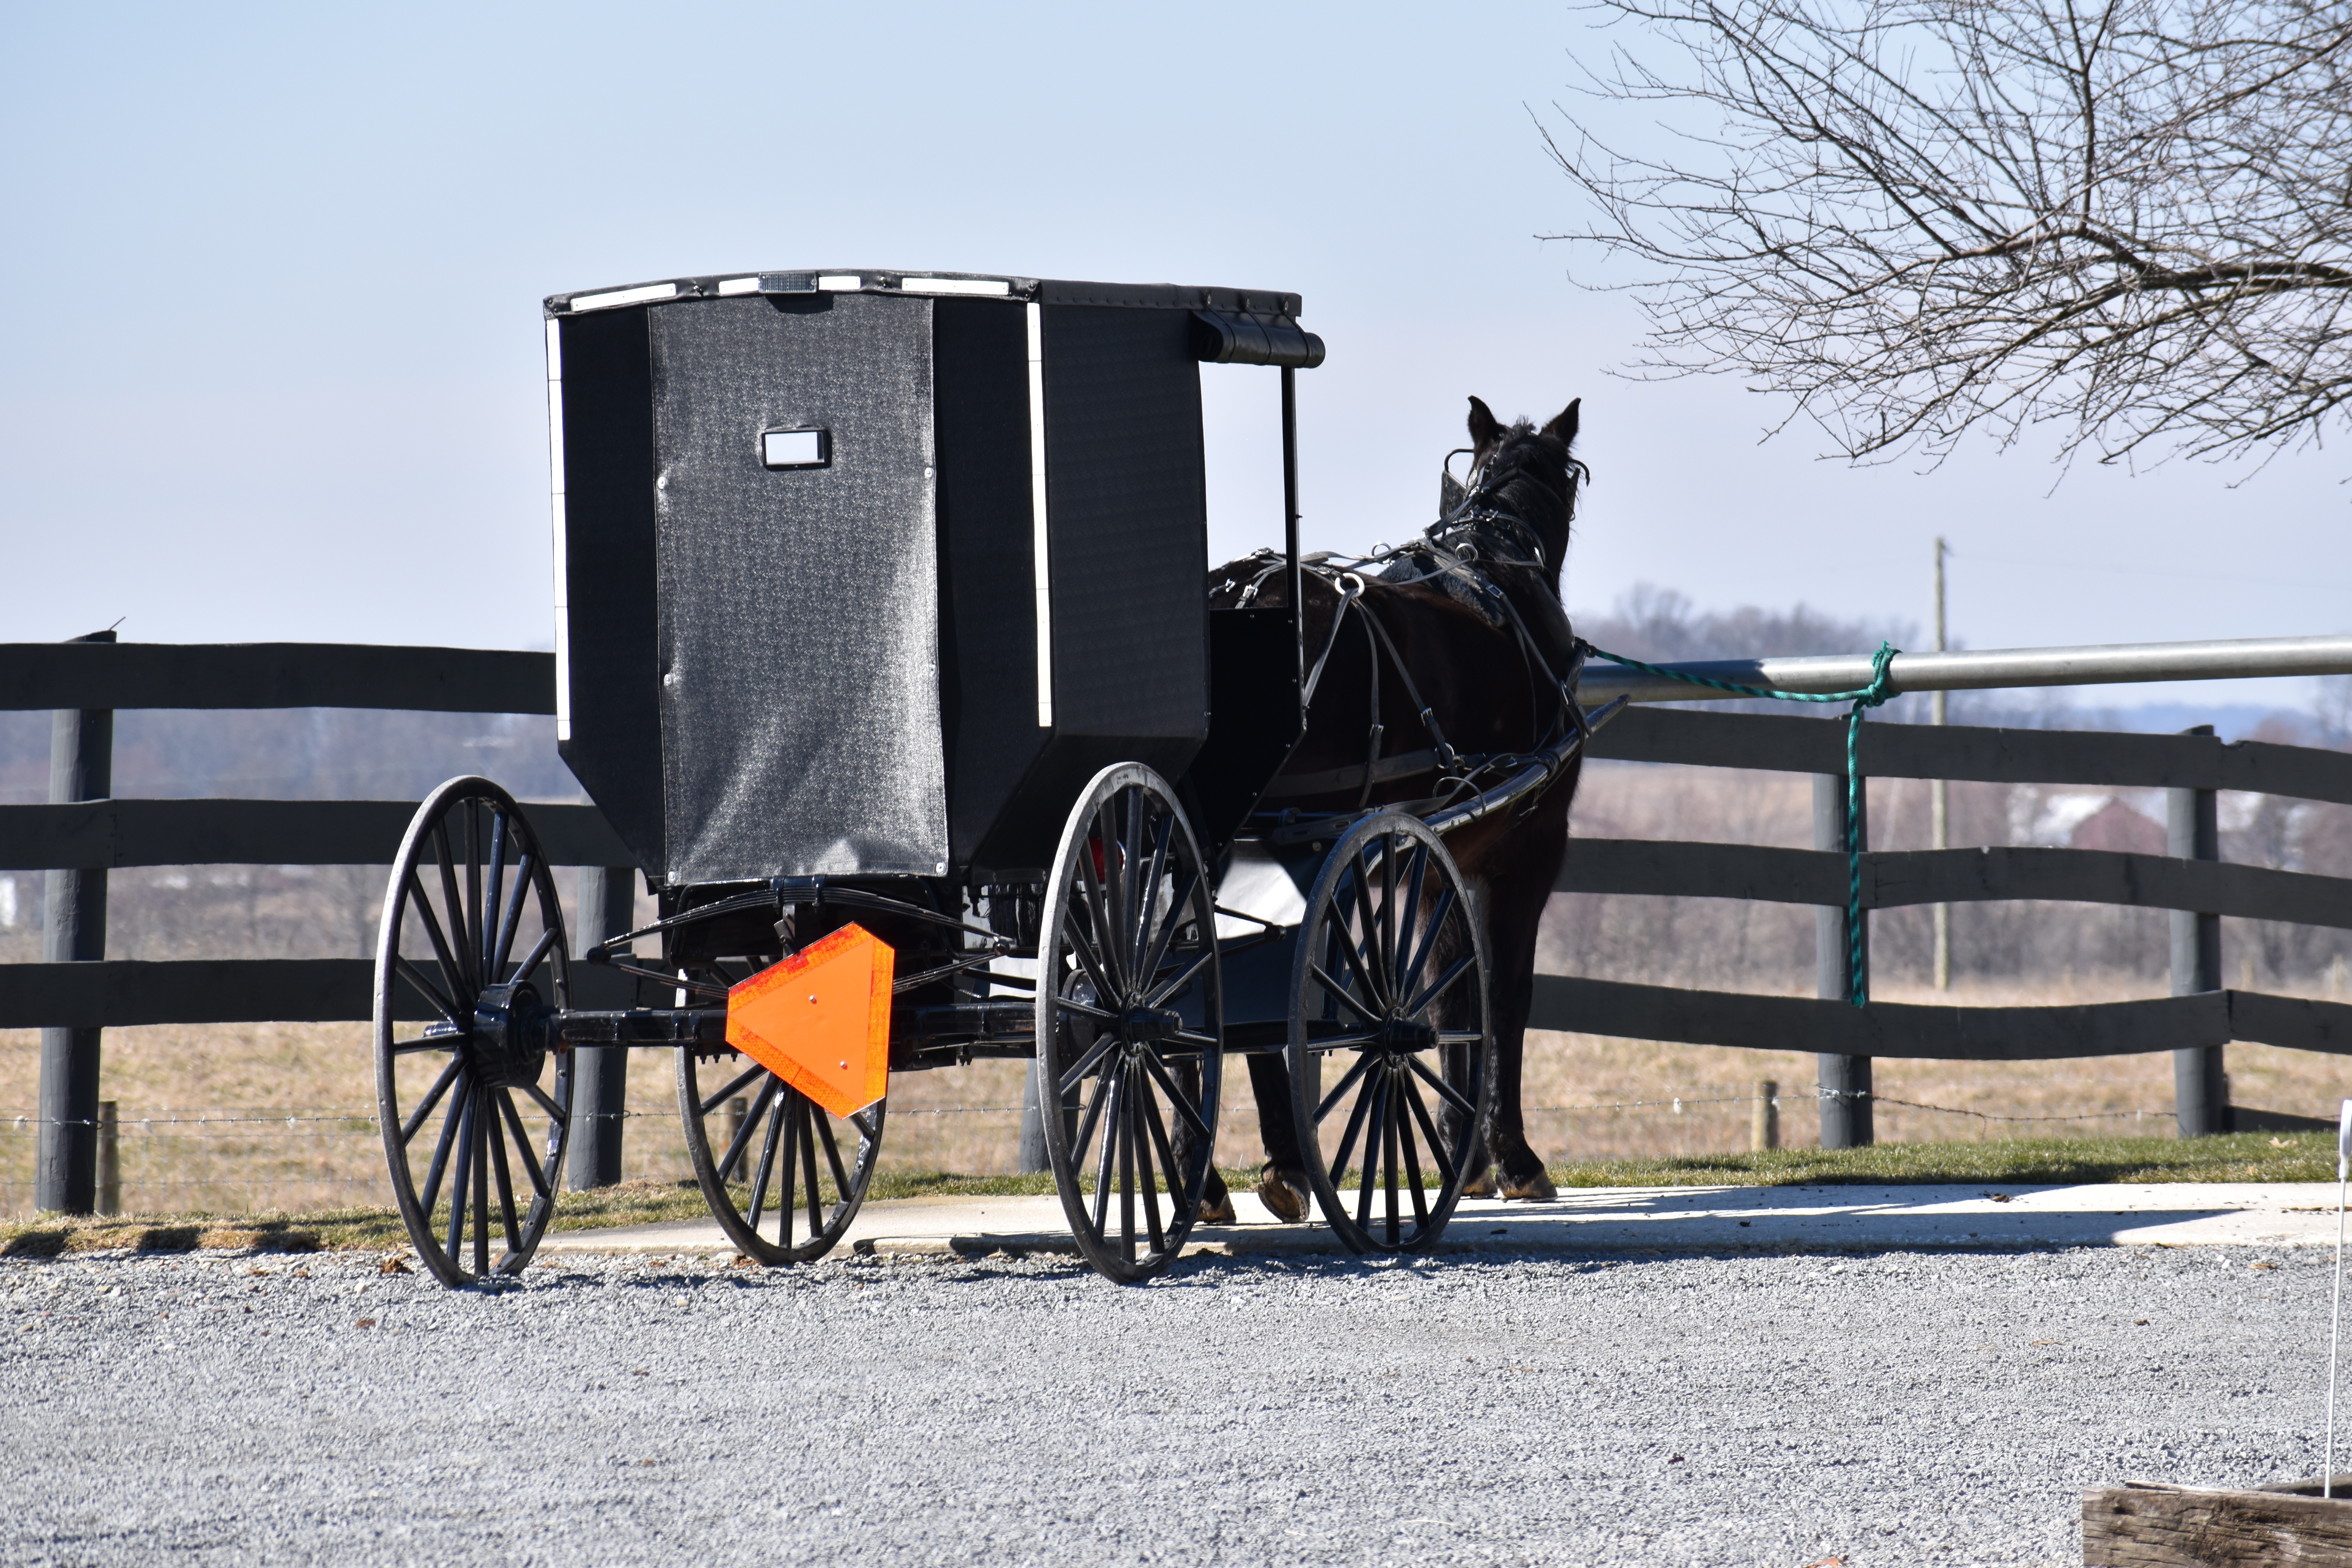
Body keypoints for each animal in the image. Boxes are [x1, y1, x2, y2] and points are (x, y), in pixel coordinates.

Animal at [1214, 392, 1581, 1213]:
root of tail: (1240, 593)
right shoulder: (1529, 854)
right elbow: (1503, 995)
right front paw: (1510, 1157)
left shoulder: (1446, 858)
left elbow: (1453, 995)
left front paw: (1463, 1153)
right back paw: (1287, 1162)